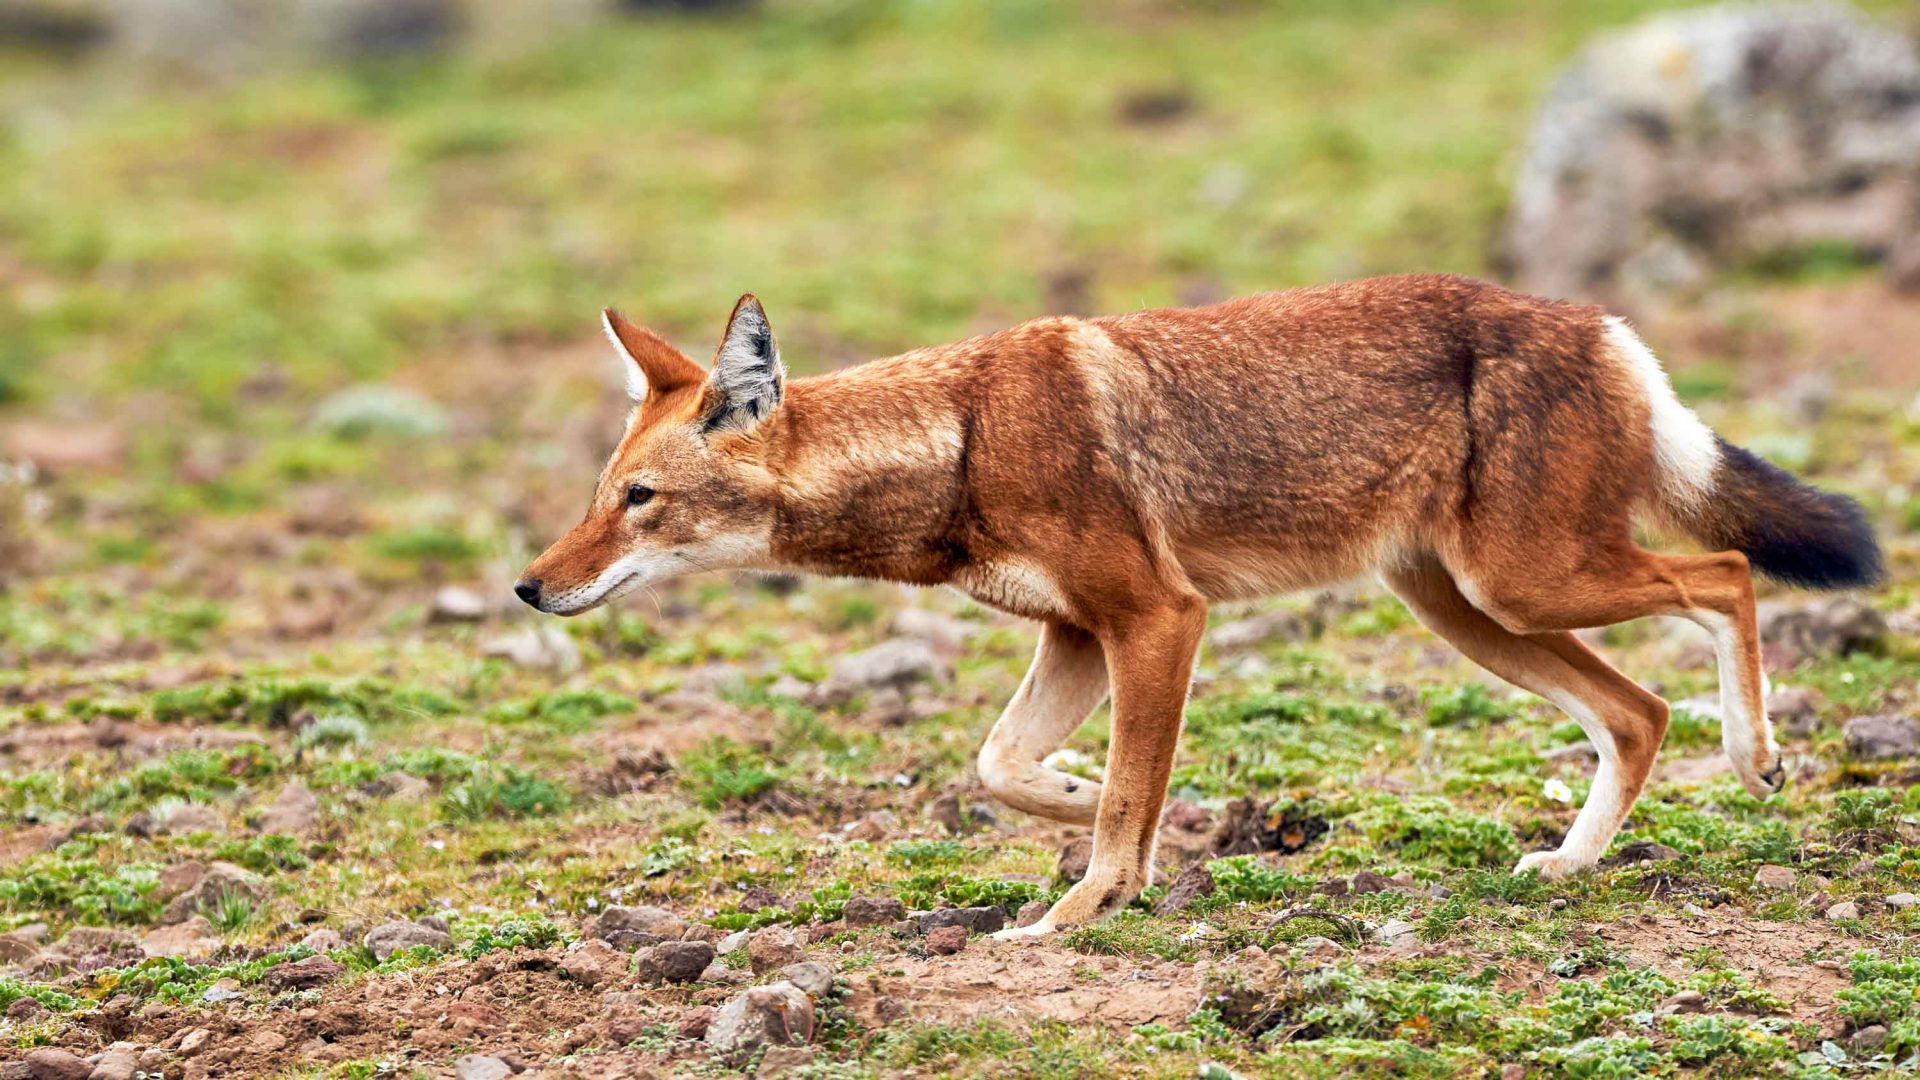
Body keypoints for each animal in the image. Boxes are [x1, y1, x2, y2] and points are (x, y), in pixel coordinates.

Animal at [518, 274, 1881, 933]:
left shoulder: (1158, 621)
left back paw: (1755, 759)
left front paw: (1079, 911)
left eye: (639, 498)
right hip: (1475, 612)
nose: (531, 586)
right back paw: (1571, 864)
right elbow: (1006, 768)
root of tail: (1599, 321)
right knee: (1640, 710)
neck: (962, 438)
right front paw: (1141, 813)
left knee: (1727, 578)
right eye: (600, 495)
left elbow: (1122, 792)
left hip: (1526, 583)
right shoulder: (1078, 634)